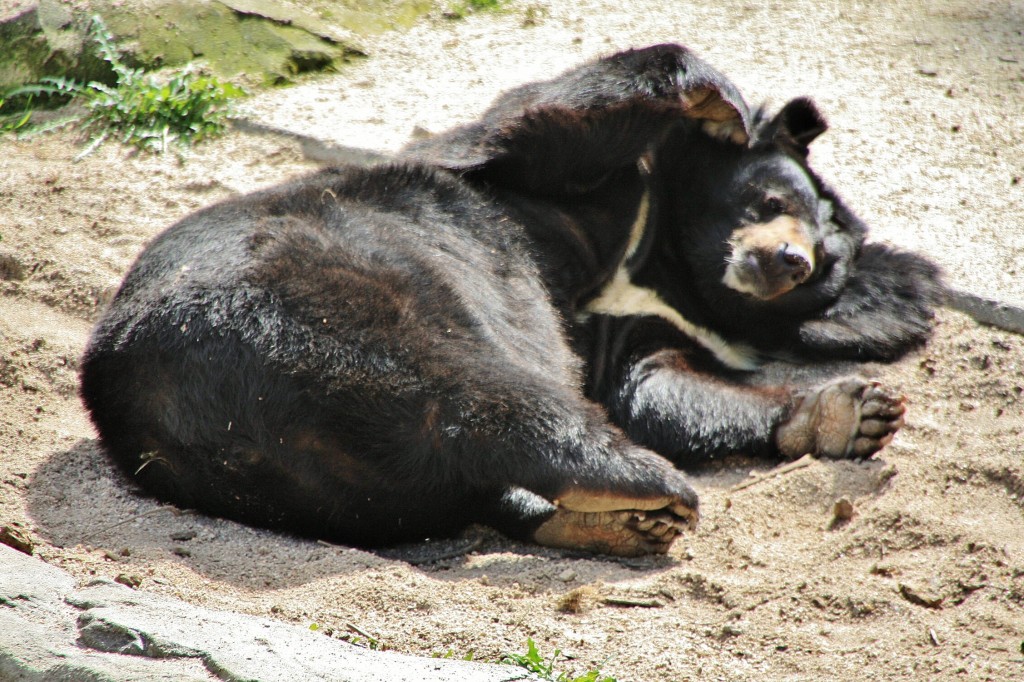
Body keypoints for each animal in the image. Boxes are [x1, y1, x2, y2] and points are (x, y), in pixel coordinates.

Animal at [81, 42, 942, 557]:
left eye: (824, 263)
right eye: (773, 199)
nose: (788, 260)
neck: (664, 254)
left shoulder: (644, 327)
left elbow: (659, 385)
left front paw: (850, 411)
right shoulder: (554, 176)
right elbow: (544, 119)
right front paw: (719, 102)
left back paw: (615, 513)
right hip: (332, 303)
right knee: (477, 394)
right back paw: (644, 487)